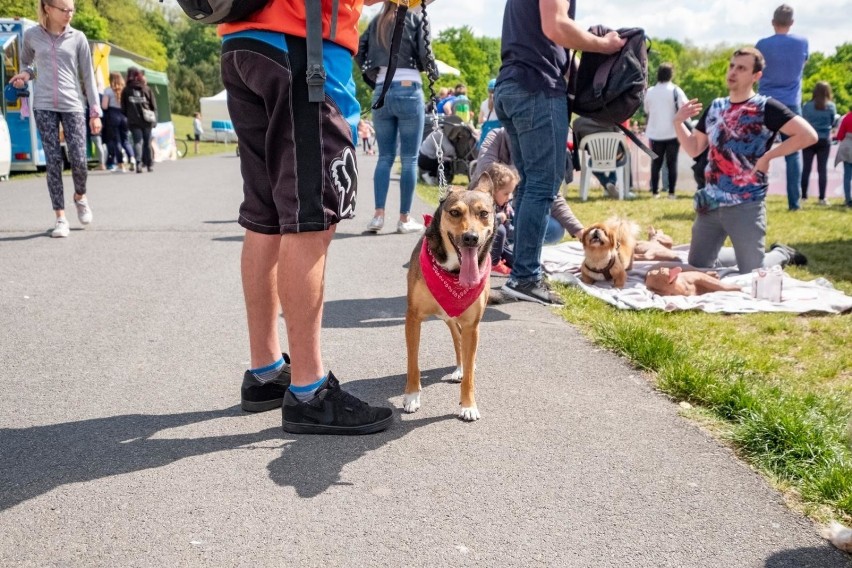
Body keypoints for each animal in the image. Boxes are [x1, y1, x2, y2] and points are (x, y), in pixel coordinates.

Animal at [402, 180, 496, 420]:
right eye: (455, 212)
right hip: (449, 318)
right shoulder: (413, 318)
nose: (470, 238)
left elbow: (470, 374)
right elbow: (413, 361)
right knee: (457, 339)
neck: (453, 272)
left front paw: (468, 405)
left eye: (484, 213)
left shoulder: (472, 325)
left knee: (462, 344)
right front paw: (412, 396)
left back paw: (462, 369)